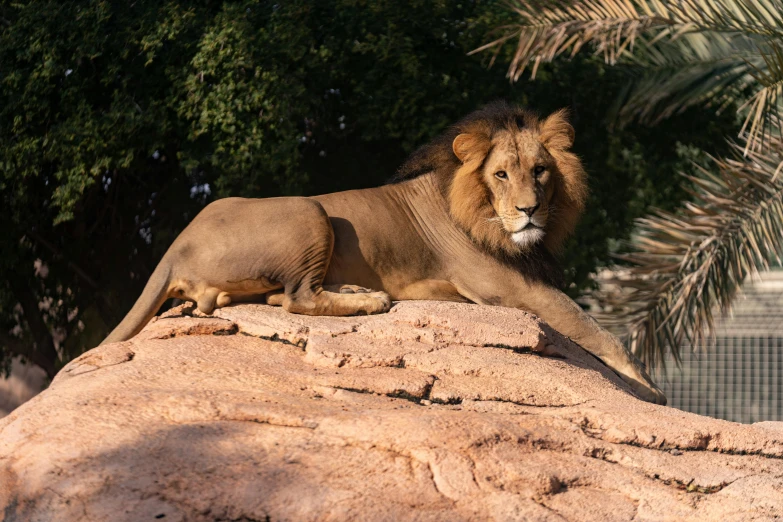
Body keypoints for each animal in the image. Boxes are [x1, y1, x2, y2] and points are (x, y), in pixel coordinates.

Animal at [102, 100, 668, 402]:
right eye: (502, 174)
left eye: (541, 171)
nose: (529, 211)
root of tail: (175, 244)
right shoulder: (511, 287)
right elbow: (597, 332)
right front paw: (652, 392)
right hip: (309, 209)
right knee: (297, 298)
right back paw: (370, 300)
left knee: (271, 298)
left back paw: (357, 290)